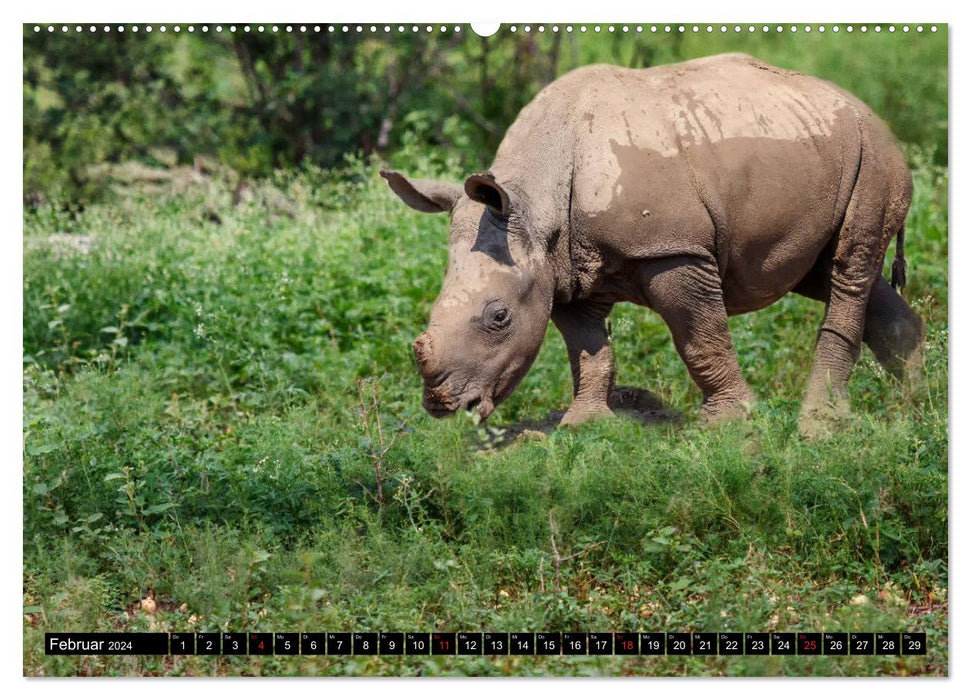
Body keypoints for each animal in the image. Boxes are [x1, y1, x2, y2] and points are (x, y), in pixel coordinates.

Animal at [382, 54, 928, 438]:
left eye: (499, 317)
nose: (442, 405)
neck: (535, 205)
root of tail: (868, 110)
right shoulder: (560, 271)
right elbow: (587, 347)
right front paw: (584, 426)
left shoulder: (672, 250)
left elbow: (698, 335)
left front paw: (727, 424)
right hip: (815, 150)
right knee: (822, 272)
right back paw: (916, 407)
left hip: (873, 154)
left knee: (848, 268)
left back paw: (820, 425)